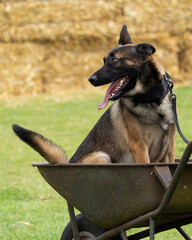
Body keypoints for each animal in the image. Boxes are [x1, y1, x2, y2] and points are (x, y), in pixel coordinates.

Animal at [12, 25, 176, 164]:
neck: (152, 100)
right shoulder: (140, 147)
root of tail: (70, 163)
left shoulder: (170, 148)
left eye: (114, 60)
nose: (91, 79)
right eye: (104, 60)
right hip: (101, 156)